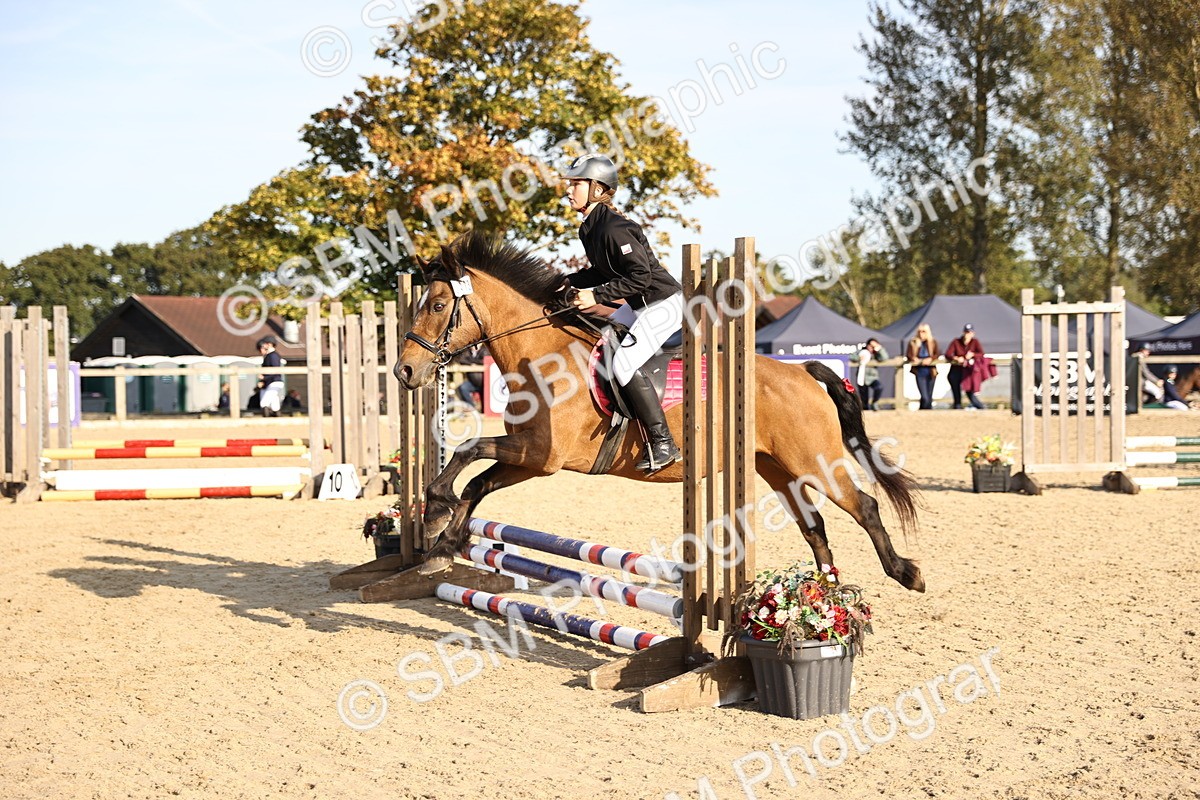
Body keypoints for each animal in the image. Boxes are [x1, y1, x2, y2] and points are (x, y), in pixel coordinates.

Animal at [393, 232, 925, 592]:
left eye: (437, 305)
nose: (404, 371)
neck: (541, 354)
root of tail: (803, 374)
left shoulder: (541, 456)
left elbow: (467, 449)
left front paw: (435, 507)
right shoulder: (530, 458)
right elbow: (477, 483)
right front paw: (440, 544)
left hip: (814, 460)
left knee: (865, 506)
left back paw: (905, 573)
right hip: (776, 467)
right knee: (814, 526)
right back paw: (828, 595)